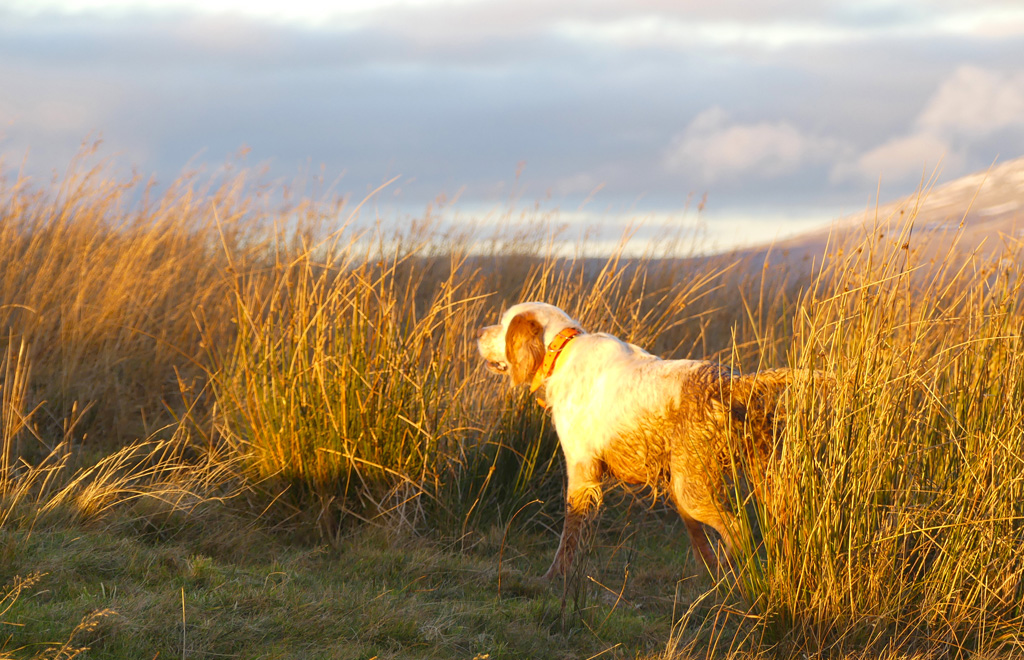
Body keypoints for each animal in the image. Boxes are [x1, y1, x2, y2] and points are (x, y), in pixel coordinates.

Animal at [475, 300, 819, 573]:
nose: (478, 332)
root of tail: (730, 383)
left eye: (503, 324)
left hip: (692, 488)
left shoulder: (582, 471)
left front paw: (553, 578)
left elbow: (568, 538)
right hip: (744, 478)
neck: (561, 353)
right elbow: (698, 540)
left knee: (738, 531)